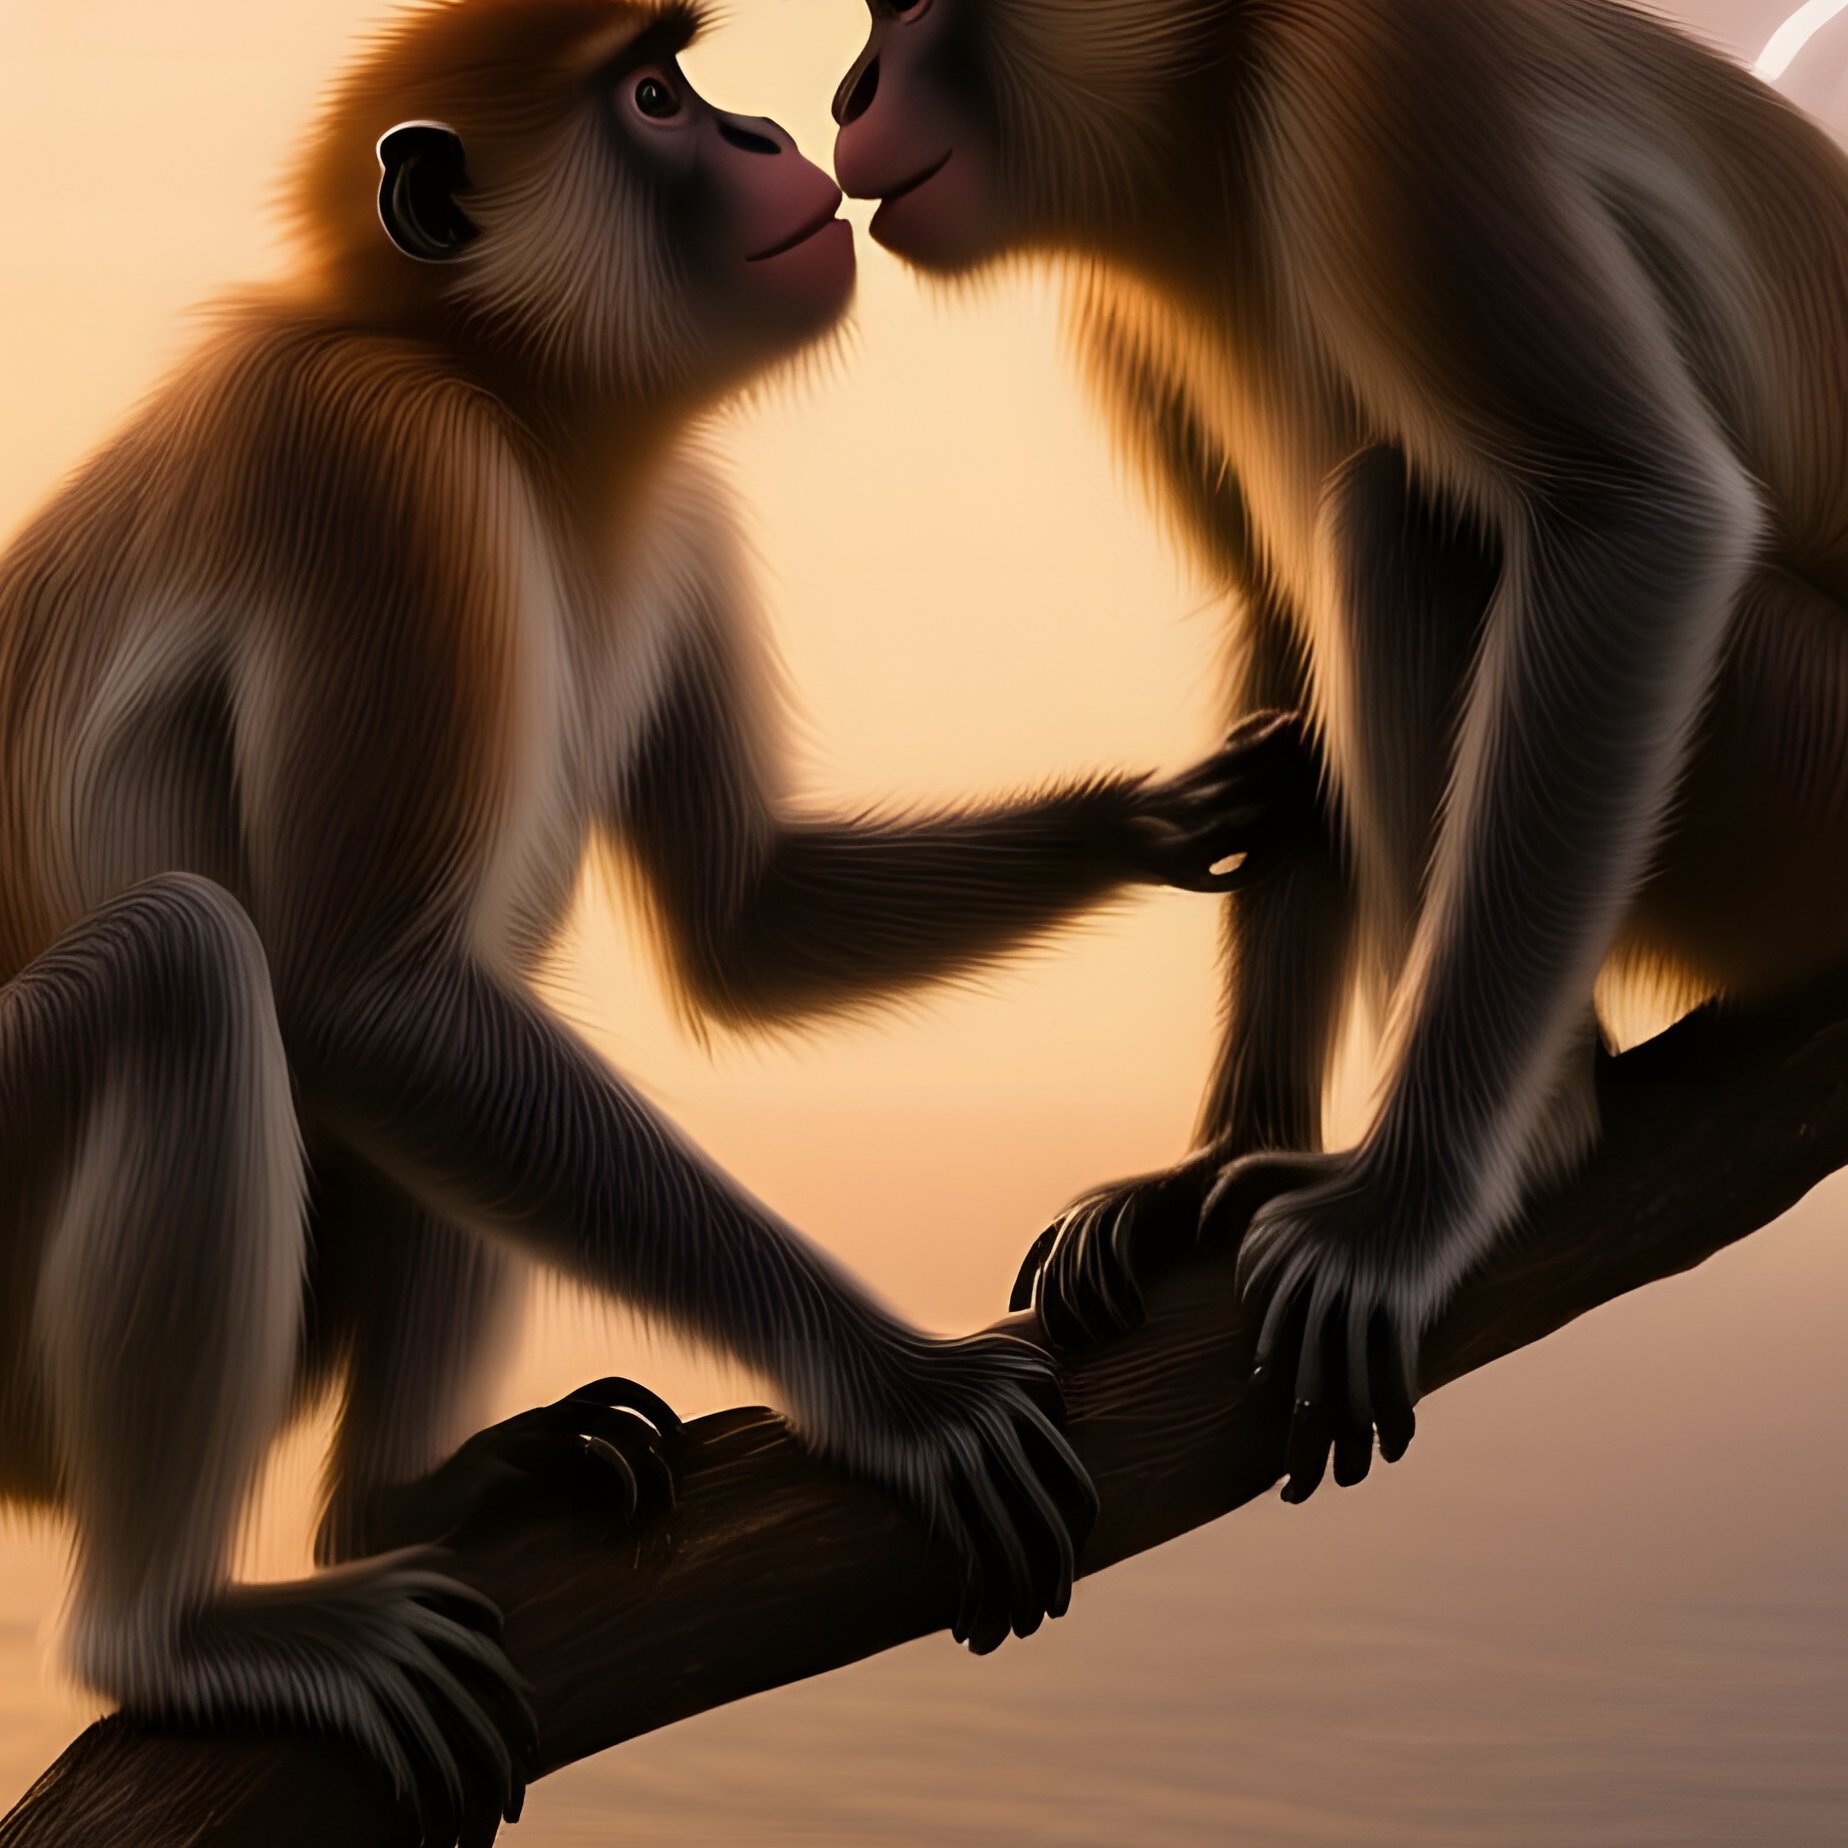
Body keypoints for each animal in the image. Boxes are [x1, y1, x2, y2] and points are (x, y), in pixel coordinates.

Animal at [0, 1, 1290, 1835]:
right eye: (659, 94)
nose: (770, 132)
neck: (513, 403)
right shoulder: (379, 463)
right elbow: (368, 992)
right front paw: (900, 1392)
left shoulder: (670, 507)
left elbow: (738, 923)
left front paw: (1173, 813)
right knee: (193, 970)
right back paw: (171, 1637)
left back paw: (407, 1500)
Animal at [832, 0, 1848, 1505]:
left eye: (908, 13)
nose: (847, 93)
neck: (1226, 97)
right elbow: (1276, 621)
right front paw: (1216, 1165)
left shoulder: (1394, 87)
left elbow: (1635, 522)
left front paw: (1402, 1214)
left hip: (1797, 759)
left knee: (1406, 507)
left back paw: (1539, 1131)